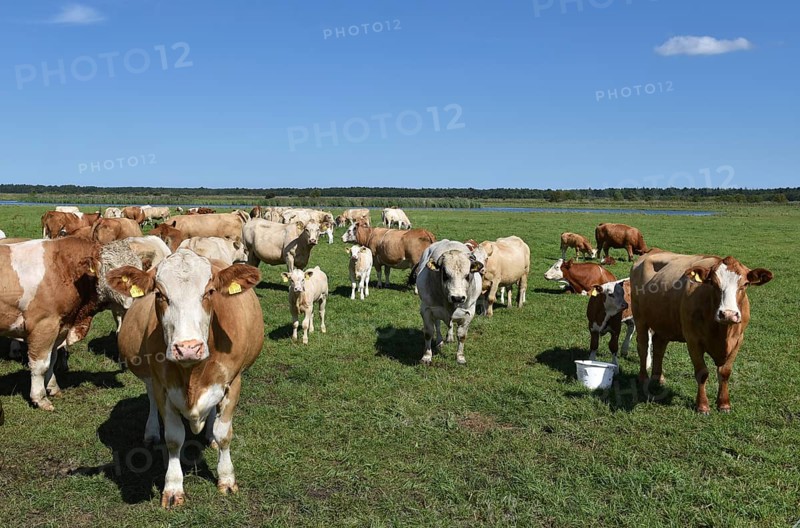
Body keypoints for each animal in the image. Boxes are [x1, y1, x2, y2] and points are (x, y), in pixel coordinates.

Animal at [0, 237, 102, 411]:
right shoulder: (44, 325)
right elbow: (41, 365)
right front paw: (40, 398)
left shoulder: (59, 326)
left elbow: (53, 359)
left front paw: (53, 387)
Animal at [107, 250, 263, 508]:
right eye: (160, 294)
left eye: (209, 292)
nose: (188, 348)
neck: (193, 373)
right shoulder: (163, 387)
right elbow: (173, 438)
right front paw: (173, 487)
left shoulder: (233, 383)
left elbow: (224, 434)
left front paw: (226, 478)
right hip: (149, 377)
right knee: (150, 399)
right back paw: (151, 432)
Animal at [630, 251, 773, 414]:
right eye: (713, 283)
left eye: (745, 284)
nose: (728, 314)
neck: (722, 333)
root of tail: (652, 251)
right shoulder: (693, 340)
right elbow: (702, 372)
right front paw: (702, 406)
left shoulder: (738, 340)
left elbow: (725, 372)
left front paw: (724, 404)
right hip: (640, 318)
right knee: (643, 347)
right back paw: (644, 377)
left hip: (664, 322)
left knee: (659, 346)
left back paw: (658, 378)